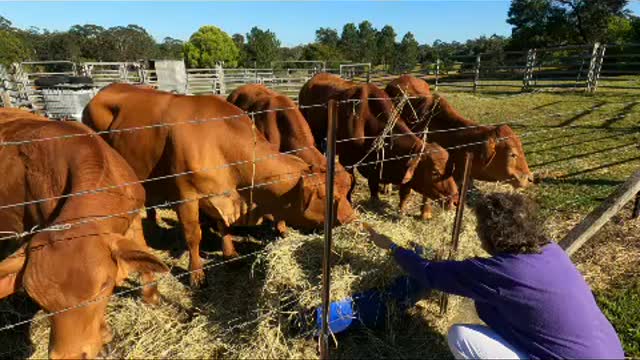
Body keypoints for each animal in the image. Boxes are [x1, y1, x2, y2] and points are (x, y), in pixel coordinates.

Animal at [0, 114, 168, 358]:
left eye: (104, 286)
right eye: (36, 298)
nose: (69, 356)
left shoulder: (135, 217)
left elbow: (143, 252)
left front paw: (153, 297)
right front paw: (105, 336)